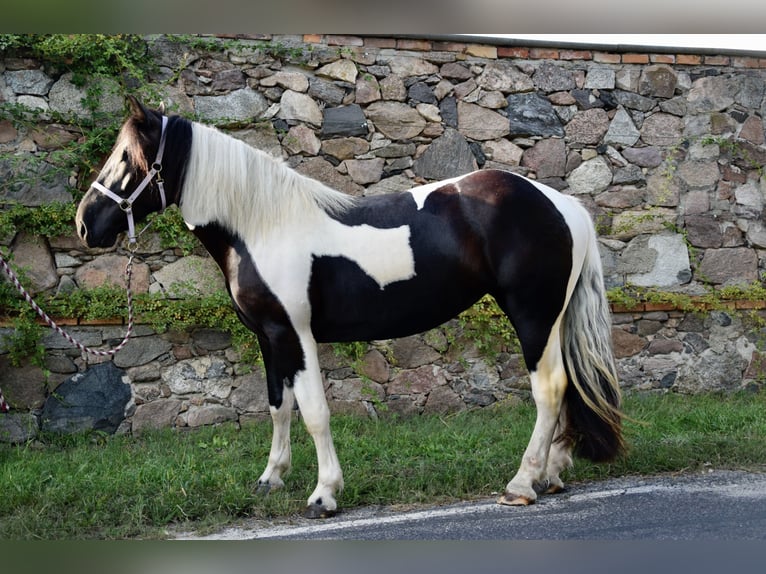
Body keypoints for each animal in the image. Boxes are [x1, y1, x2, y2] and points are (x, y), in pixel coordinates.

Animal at [76, 97, 624, 520]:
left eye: (126, 157)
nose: (84, 224)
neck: (264, 225)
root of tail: (562, 204)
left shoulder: (296, 335)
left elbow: (315, 412)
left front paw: (324, 495)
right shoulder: (269, 336)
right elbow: (278, 406)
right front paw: (271, 479)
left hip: (534, 316)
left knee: (549, 389)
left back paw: (522, 483)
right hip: (552, 319)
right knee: (567, 386)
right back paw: (553, 474)